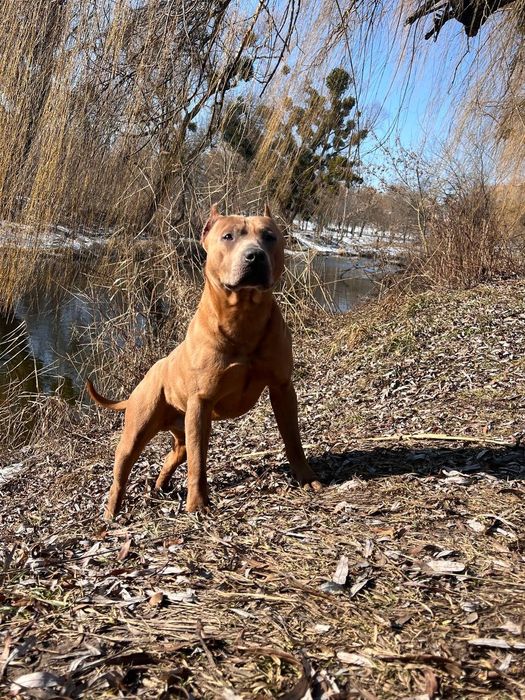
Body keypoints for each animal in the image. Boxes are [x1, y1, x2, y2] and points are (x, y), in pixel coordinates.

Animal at [87, 204, 321, 520]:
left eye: (270, 237)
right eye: (228, 236)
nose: (255, 255)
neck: (242, 315)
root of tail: (149, 373)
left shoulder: (283, 388)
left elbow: (293, 438)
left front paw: (306, 477)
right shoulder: (201, 402)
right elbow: (199, 460)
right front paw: (198, 503)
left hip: (181, 431)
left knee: (173, 456)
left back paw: (160, 486)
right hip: (137, 431)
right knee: (122, 474)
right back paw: (112, 512)